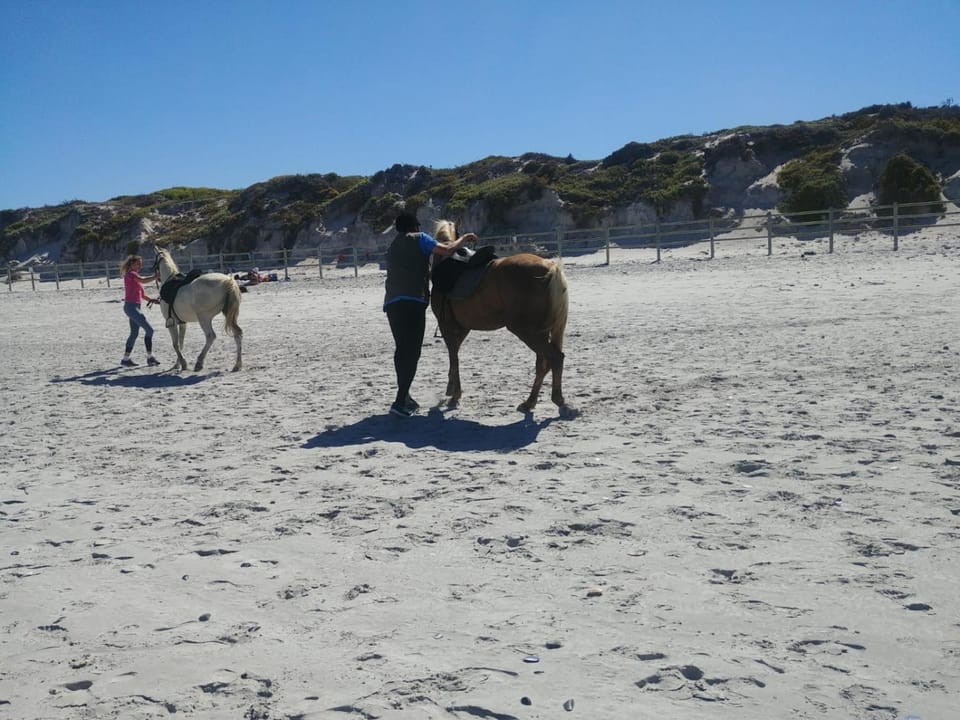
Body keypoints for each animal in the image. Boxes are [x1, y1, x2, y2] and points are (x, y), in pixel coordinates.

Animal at [431, 220, 574, 416]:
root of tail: (550, 268)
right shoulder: (461, 329)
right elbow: (455, 357)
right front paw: (451, 389)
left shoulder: (448, 327)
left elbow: (454, 358)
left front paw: (454, 394)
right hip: (540, 332)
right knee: (543, 364)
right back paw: (529, 402)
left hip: (527, 332)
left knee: (555, 358)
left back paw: (557, 399)